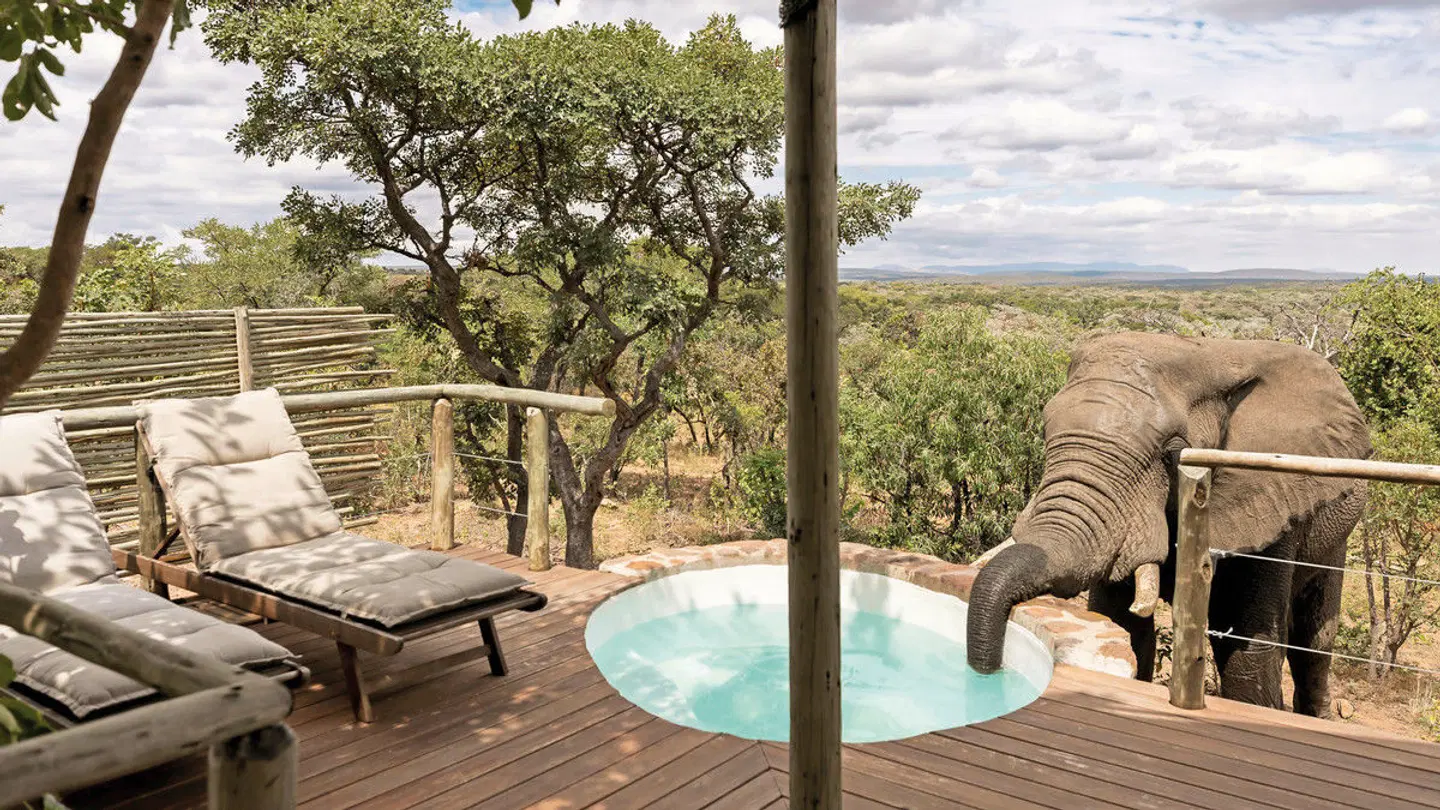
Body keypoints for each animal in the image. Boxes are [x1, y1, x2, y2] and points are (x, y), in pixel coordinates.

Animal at [966, 331, 1370, 717]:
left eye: (1172, 454)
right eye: (1044, 433)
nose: (988, 672)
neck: (1212, 355)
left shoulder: (1272, 499)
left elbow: (1246, 648)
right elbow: (1122, 622)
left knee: (1313, 642)